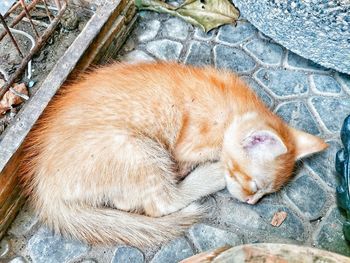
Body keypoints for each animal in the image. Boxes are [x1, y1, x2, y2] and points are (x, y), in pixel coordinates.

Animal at [19, 62, 328, 248]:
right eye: (254, 185)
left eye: (266, 193)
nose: (252, 202)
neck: (232, 107)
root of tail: (46, 190)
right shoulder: (186, 145)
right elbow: (189, 160)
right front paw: (215, 166)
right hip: (137, 150)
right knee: (159, 203)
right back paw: (210, 175)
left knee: (127, 202)